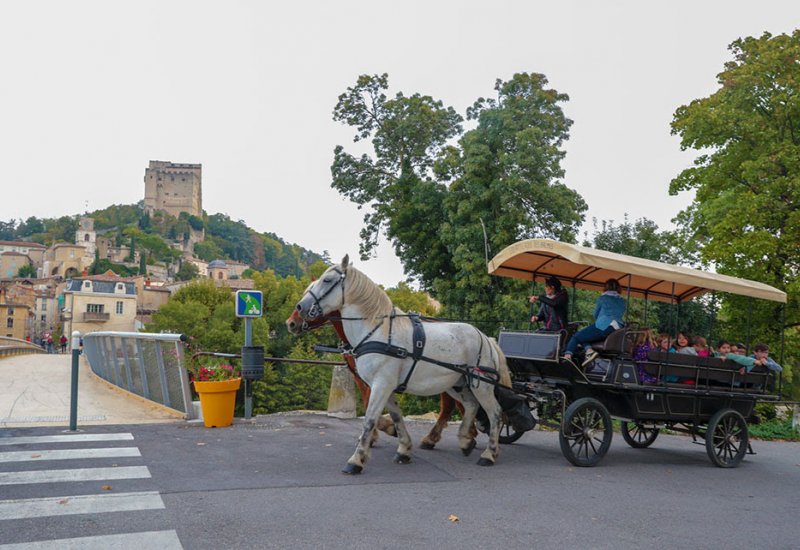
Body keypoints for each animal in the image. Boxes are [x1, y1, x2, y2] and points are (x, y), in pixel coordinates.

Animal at [290, 254, 510, 474]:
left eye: (327, 280)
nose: (299, 310)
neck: (376, 331)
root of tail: (485, 337)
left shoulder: (381, 384)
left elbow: (370, 419)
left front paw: (356, 459)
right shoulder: (383, 386)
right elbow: (396, 416)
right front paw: (403, 449)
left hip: (481, 384)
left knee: (495, 413)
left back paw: (489, 453)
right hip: (457, 384)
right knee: (471, 405)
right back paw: (465, 440)